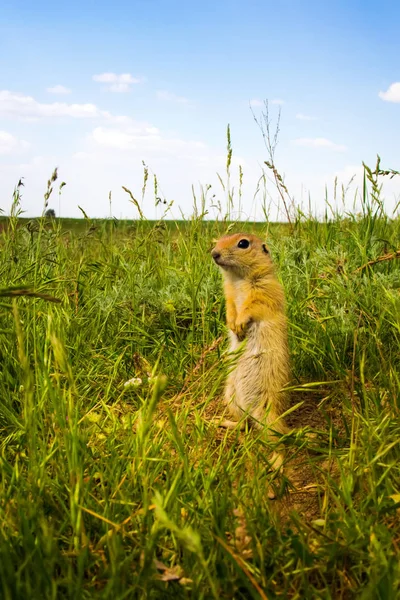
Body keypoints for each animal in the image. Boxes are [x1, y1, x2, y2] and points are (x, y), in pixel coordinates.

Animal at [211, 233, 290, 436]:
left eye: (243, 243)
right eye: (220, 238)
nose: (214, 253)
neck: (238, 279)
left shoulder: (264, 291)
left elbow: (252, 307)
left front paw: (239, 324)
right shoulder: (229, 294)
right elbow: (230, 307)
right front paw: (232, 323)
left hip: (264, 404)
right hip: (230, 395)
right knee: (244, 423)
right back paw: (222, 422)